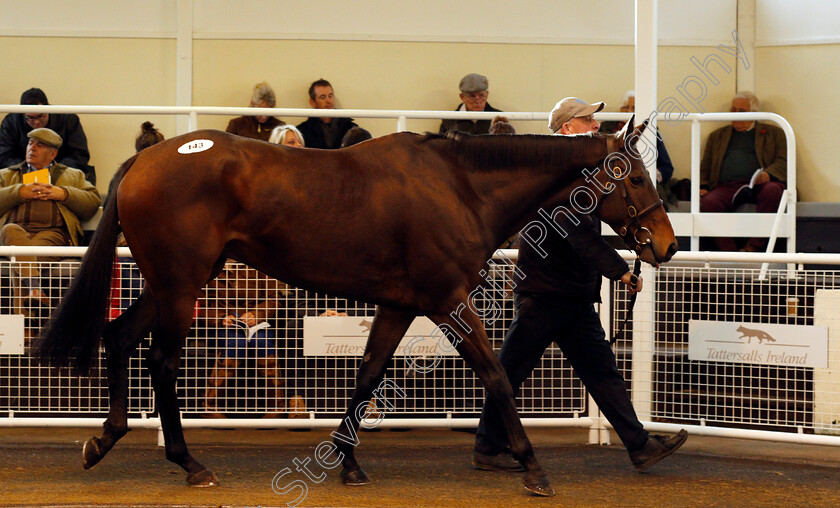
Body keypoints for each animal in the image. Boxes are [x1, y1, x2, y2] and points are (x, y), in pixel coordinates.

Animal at [37, 118, 676, 496]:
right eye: (635, 178)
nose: (665, 245)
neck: (460, 186)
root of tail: (144, 162)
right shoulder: (447, 301)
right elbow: (496, 375)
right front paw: (533, 466)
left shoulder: (399, 306)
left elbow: (367, 376)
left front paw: (347, 463)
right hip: (181, 285)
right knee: (162, 364)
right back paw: (190, 464)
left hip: (174, 282)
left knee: (120, 339)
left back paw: (103, 441)